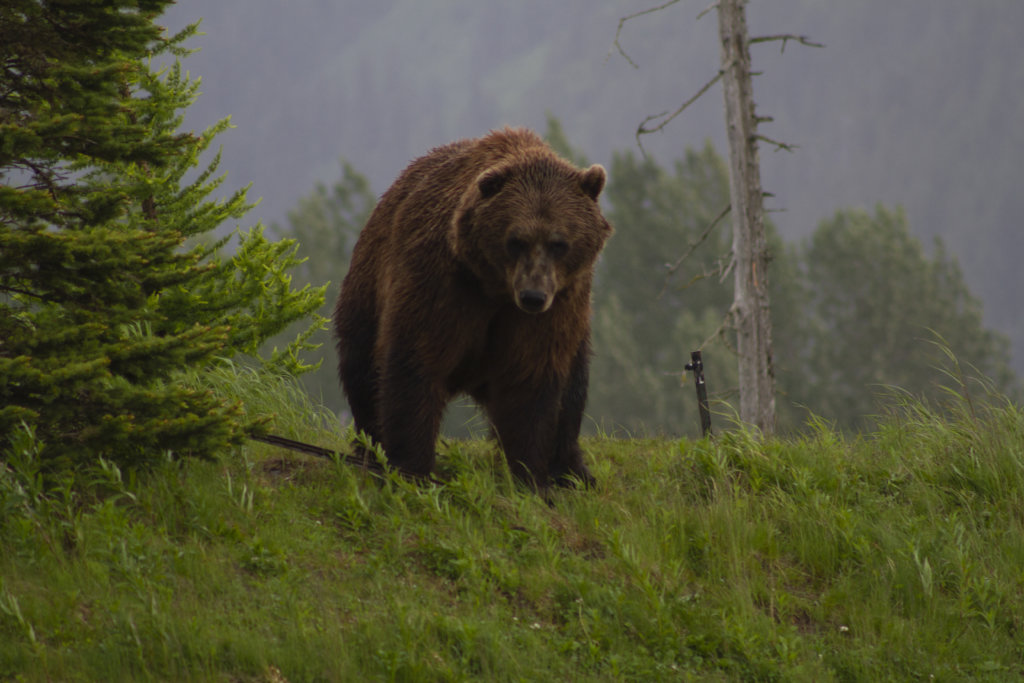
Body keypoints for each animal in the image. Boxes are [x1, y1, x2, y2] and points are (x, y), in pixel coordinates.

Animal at [333, 127, 612, 489]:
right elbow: (415, 361)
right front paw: (412, 467)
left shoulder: (556, 306)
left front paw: (530, 476)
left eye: (558, 243)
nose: (533, 296)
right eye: (516, 240)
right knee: (362, 369)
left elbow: (531, 376)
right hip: (367, 289)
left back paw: (572, 470)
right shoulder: (444, 283)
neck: (495, 286)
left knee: (574, 386)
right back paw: (369, 447)